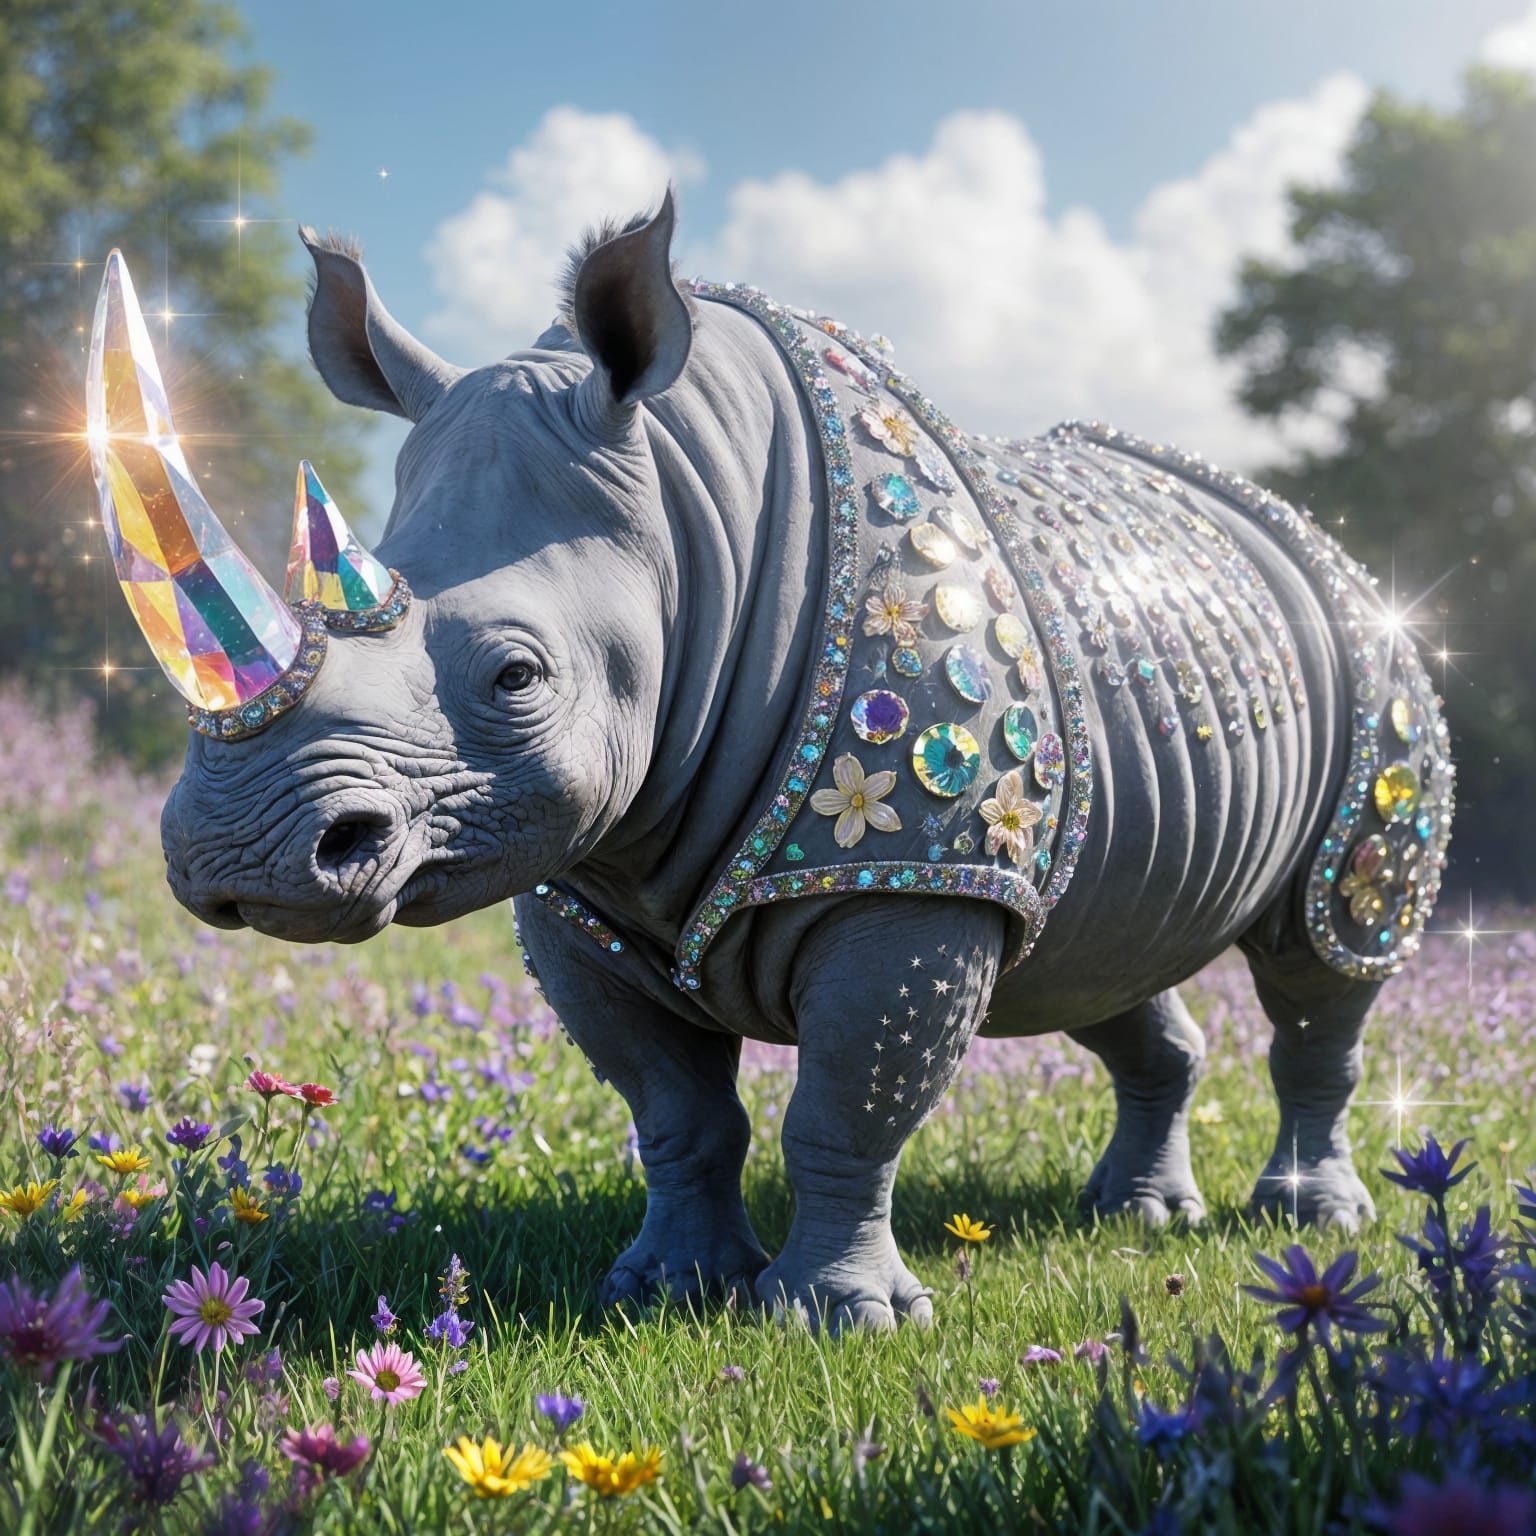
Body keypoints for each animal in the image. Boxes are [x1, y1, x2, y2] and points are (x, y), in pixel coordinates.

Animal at [91, 192, 1453, 1331]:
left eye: (517, 678)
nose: (240, 858)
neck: (692, 530)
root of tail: (1305, 537)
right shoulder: (586, 897)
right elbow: (677, 1113)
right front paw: (666, 1287)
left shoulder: (915, 878)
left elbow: (847, 1104)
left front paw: (836, 1321)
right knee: (1108, 951)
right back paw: (1136, 1214)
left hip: (1375, 669)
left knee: (1326, 955)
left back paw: (1305, 1214)